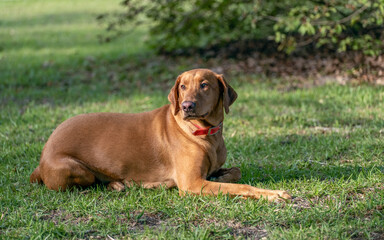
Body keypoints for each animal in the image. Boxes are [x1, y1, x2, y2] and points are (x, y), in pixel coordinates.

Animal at [30, 68, 292, 201]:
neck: (205, 133)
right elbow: (243, 186)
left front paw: (224, 177)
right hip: (75, 168)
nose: (187, 106)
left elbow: (235, 172)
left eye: (205, 84)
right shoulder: (191, 182)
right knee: (90, 182)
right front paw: (273, 194)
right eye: (182, 86)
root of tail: (41, 158)